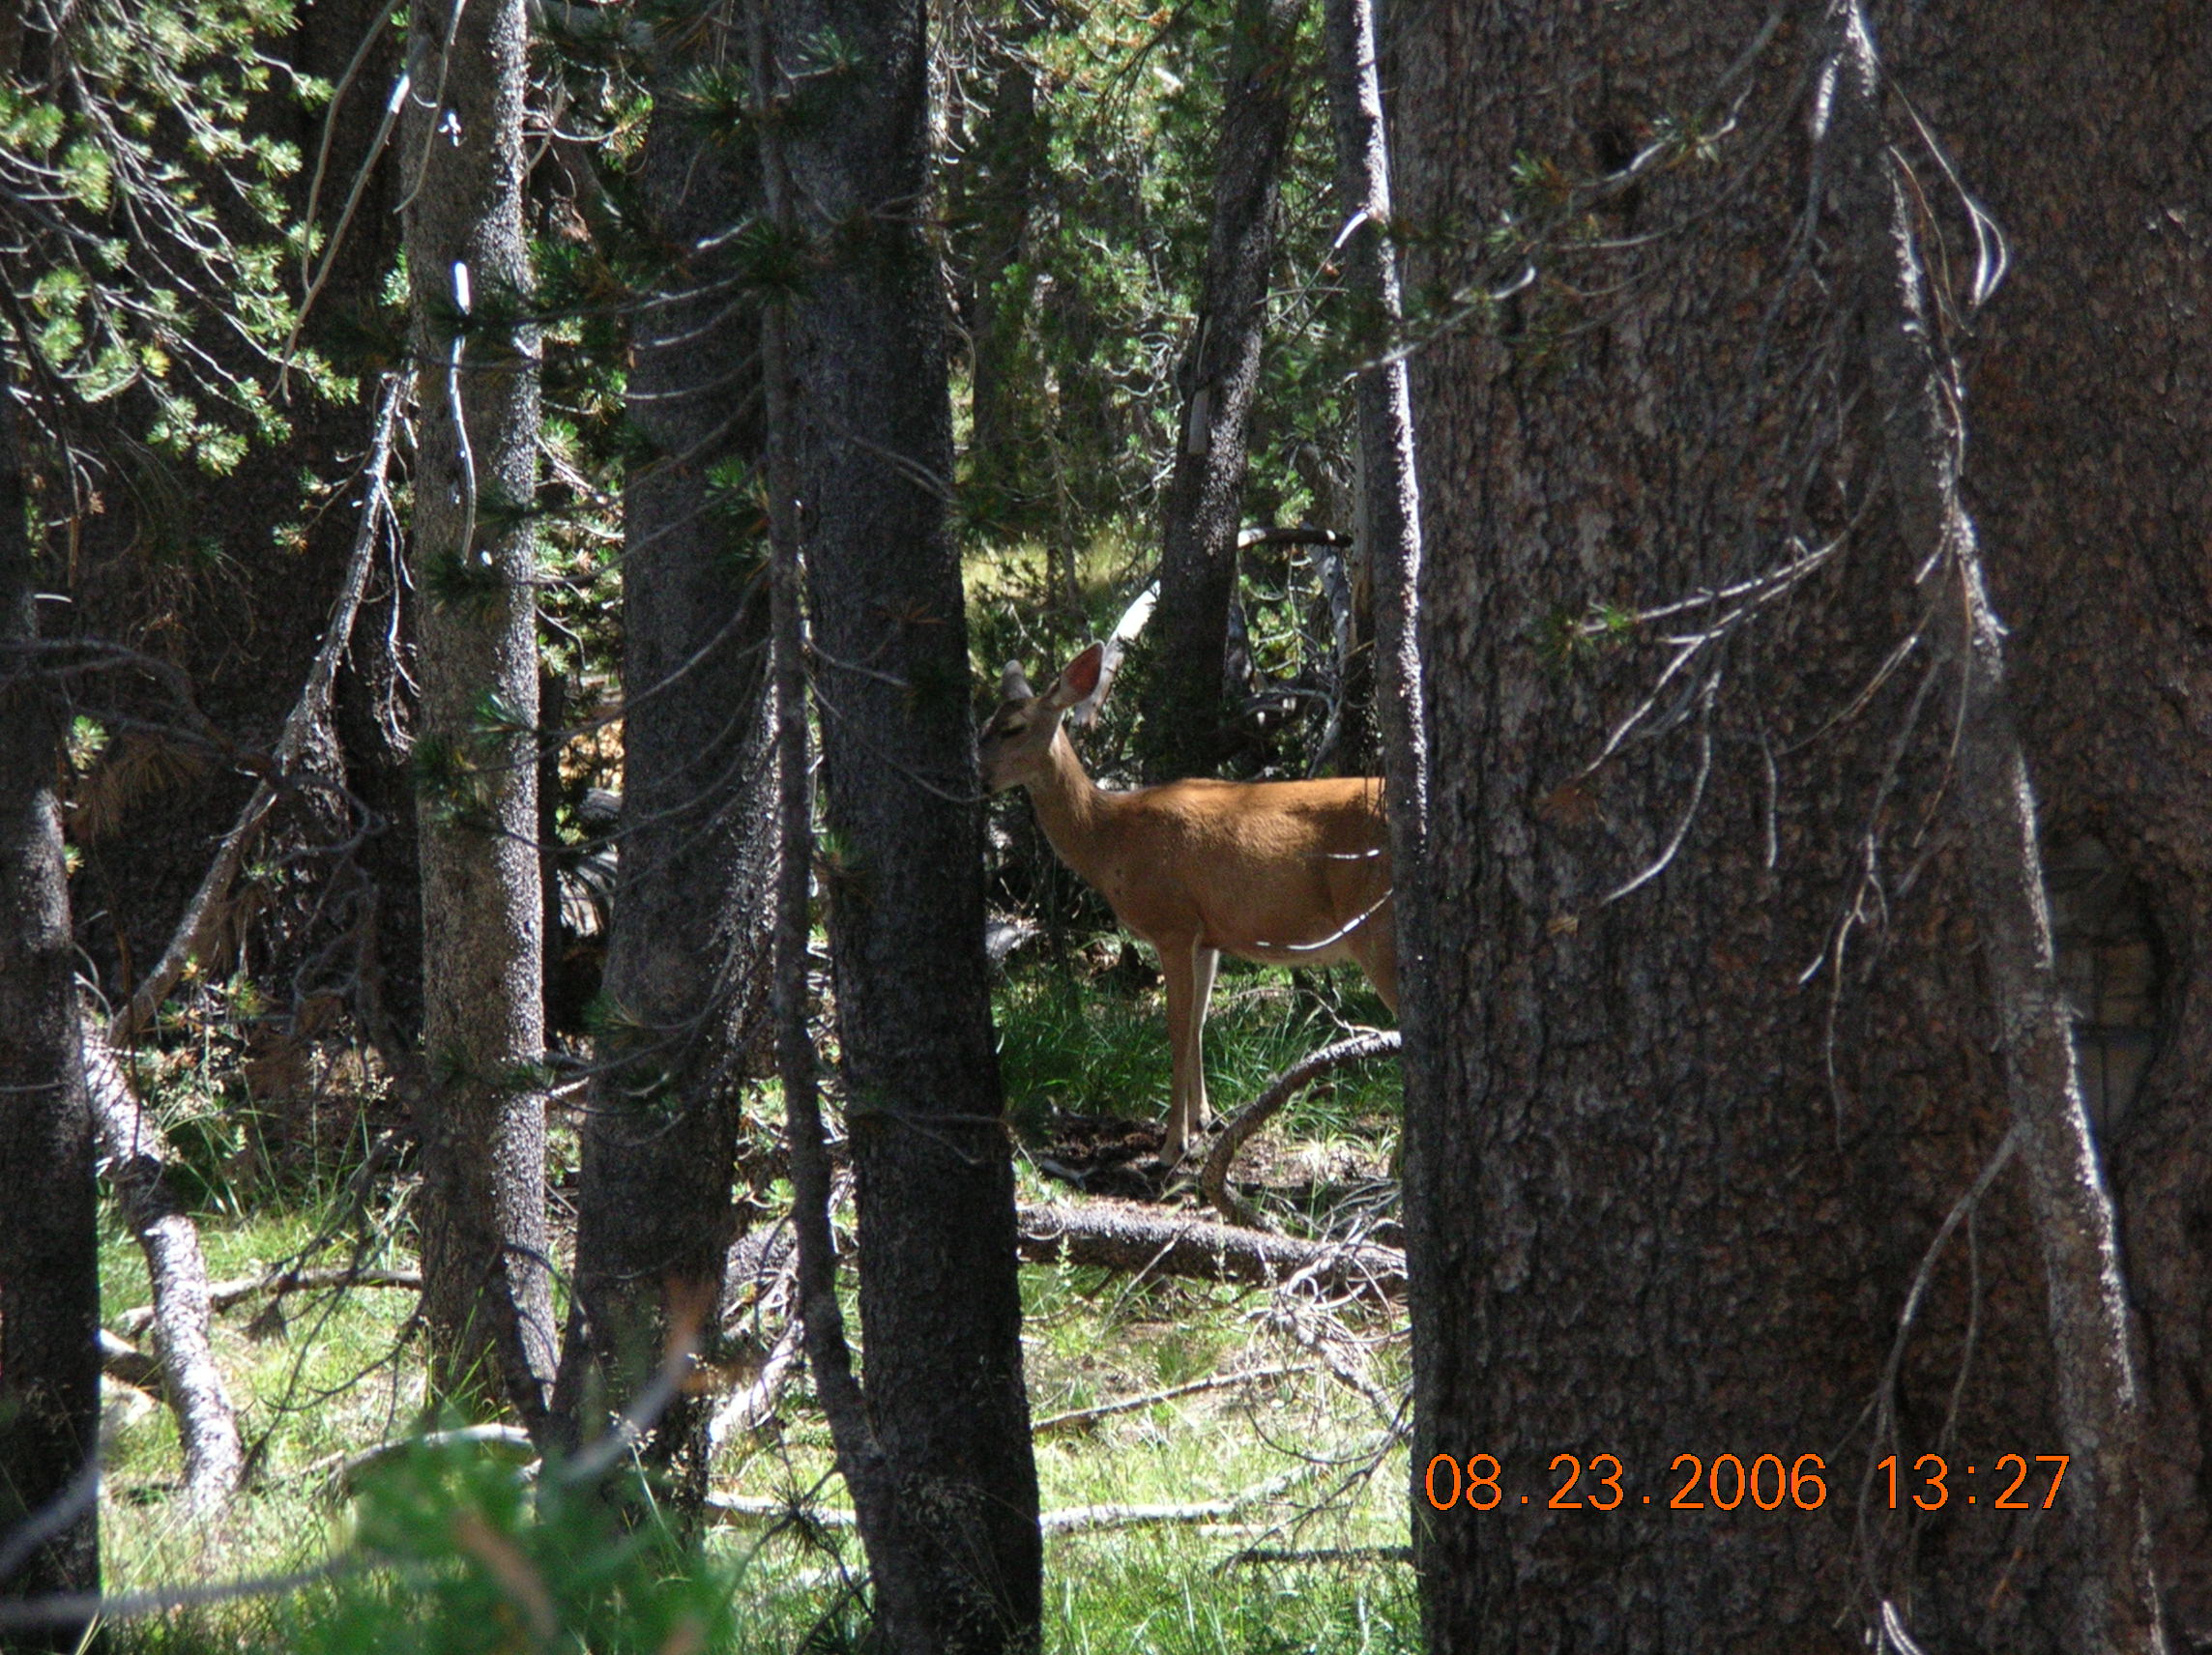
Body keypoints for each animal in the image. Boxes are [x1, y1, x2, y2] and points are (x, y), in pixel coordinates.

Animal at [978, 642, 1397, 1164]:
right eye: (984, 723)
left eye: (1012, 728)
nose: (977, 777)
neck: (1110, 840)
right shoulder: (1207, 933)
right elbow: (1198, 1023)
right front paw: (1204, 1121)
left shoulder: (1171, 922)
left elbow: (1176, 1029)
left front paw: (1172, 1144)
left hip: (1376, 926)